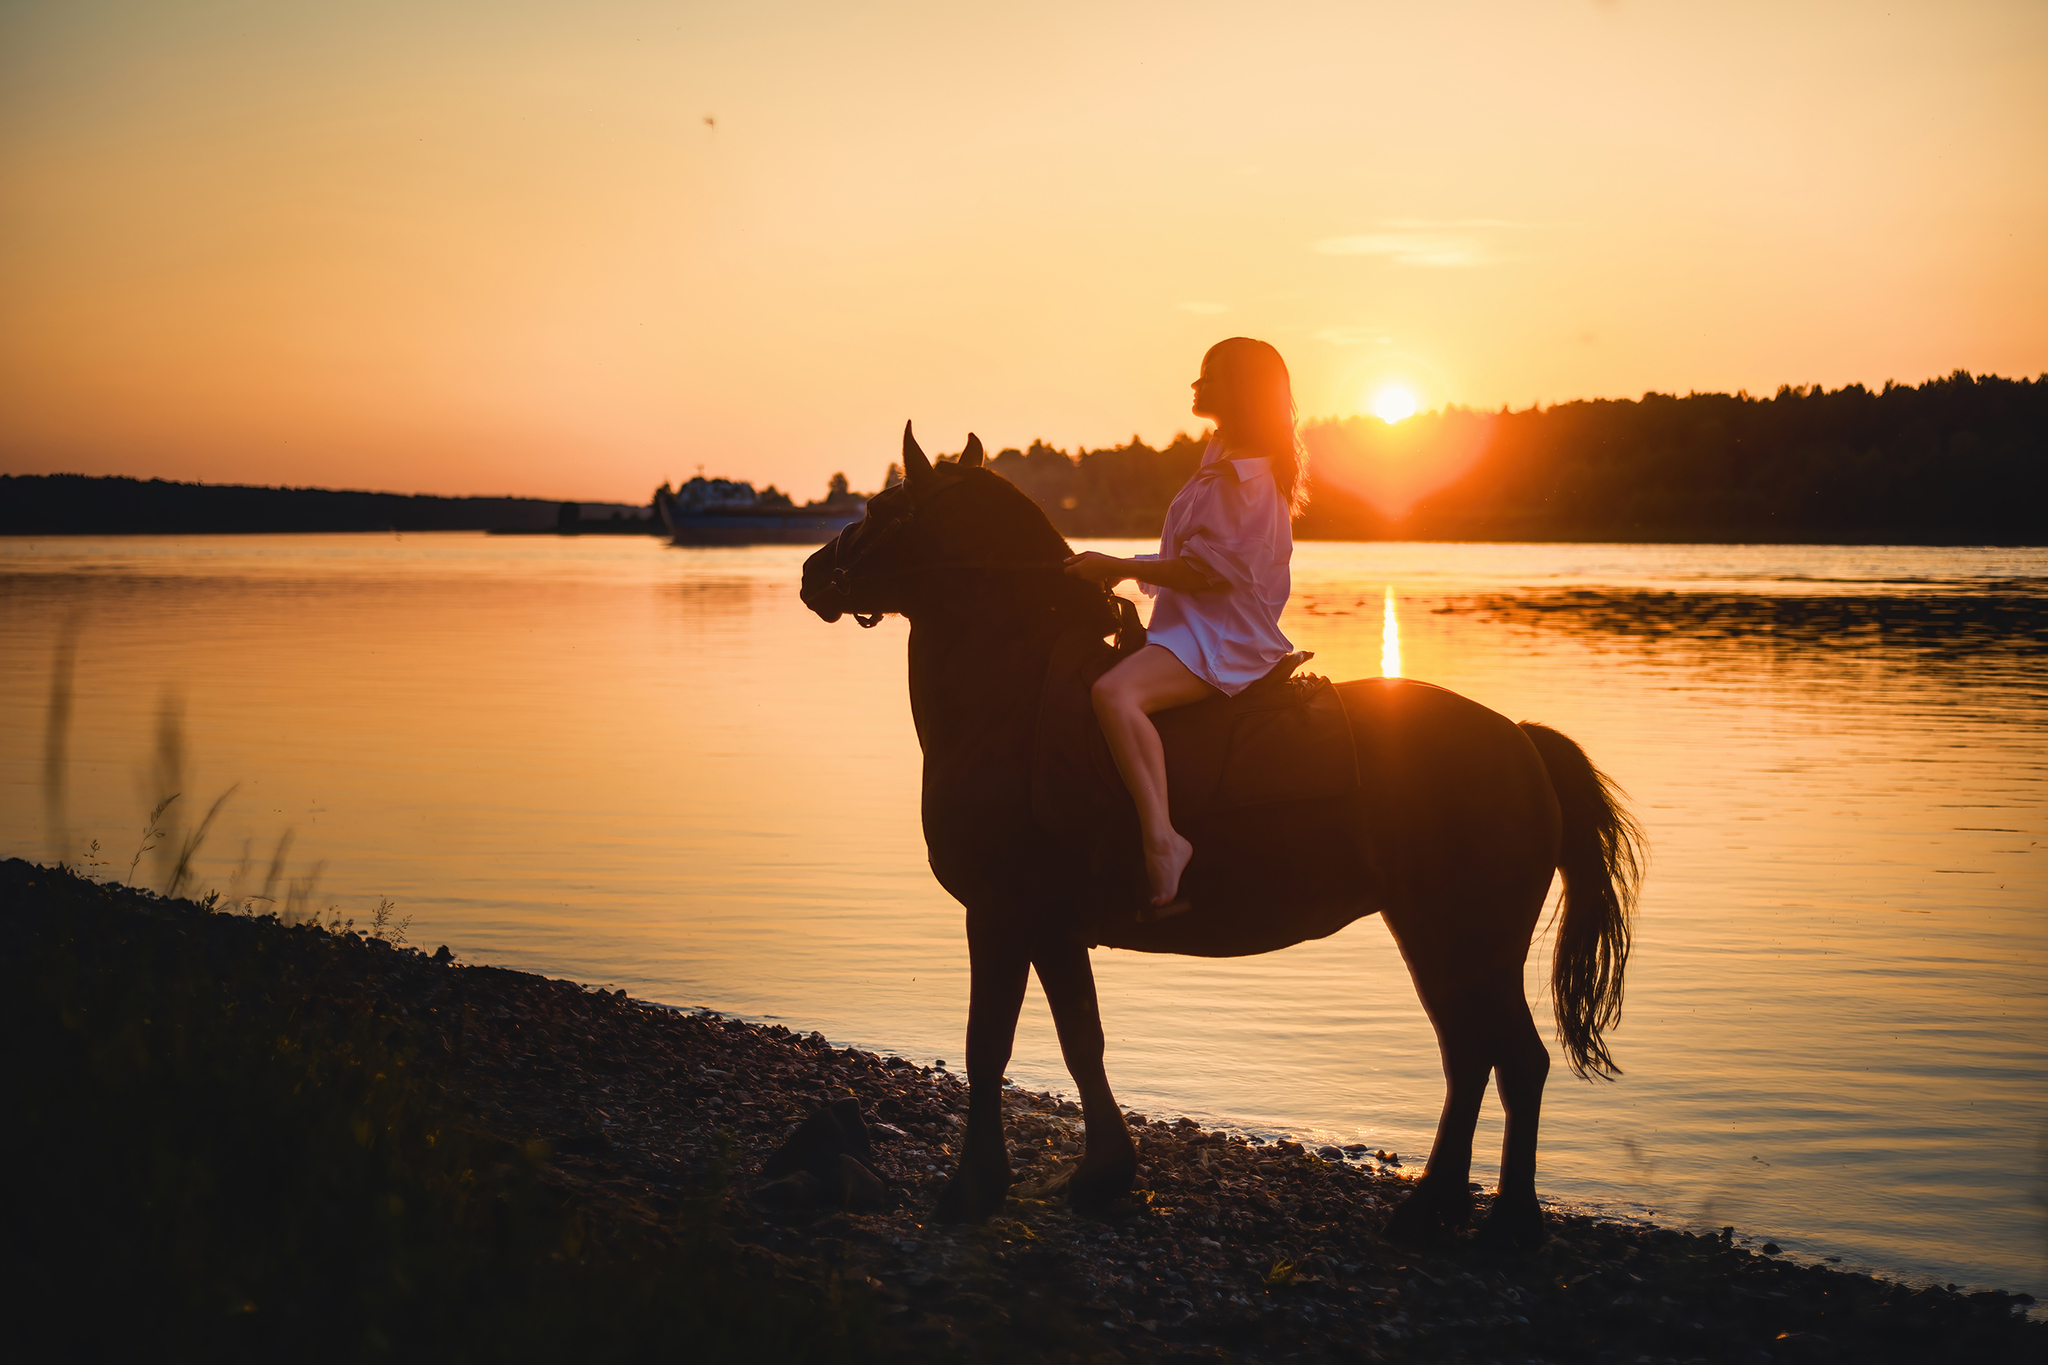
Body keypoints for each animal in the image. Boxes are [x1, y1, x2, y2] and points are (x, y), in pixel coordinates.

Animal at [798, 427, 1646, 1252]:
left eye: (882, 505)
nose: (812, 573)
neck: (1014, 699)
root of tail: (1521, 739)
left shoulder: (1000, 913)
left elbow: (988, 1047)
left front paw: (971, 1190)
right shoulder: (1051, 926)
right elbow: (1081, 1038)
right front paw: (1103, 1174)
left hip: (1471, 942)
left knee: (1515, 1060)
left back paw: (1511, 1222)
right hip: (1436, 938)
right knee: (1471, 1057)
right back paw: (1429, 1207)